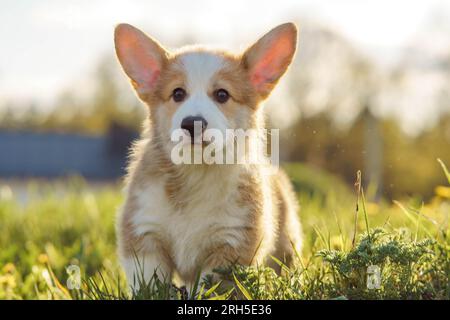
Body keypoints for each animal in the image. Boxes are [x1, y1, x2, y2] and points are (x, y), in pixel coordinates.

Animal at [114, 22, 302, 290]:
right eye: (178, 93)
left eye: (222, 95)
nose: (191, 123)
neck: (197, 172)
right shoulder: (145, 232)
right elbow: (149, 284)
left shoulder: (231, 243)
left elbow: (210, 287)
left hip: (286, 246)